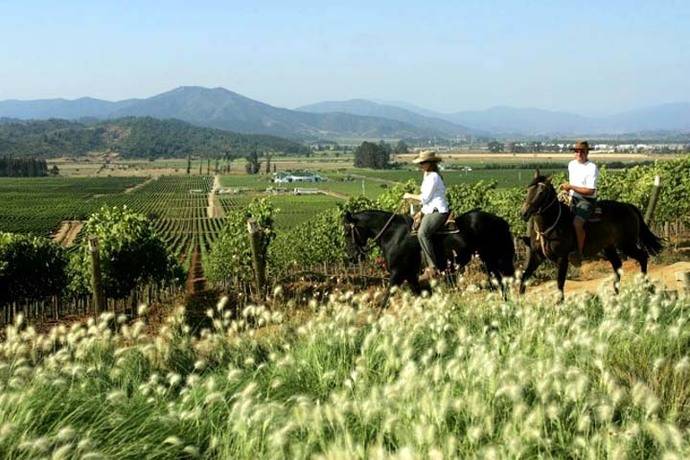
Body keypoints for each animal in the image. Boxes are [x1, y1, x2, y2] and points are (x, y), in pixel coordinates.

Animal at [342, 210, 512, 296]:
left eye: (346, 232)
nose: (351, 256)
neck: (393, 234)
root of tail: (500, 220)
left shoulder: (398, 273)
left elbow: (386, 299)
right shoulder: (410, 275)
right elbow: (419, 295)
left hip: (491, 258)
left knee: (501, 281)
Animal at [516, 171, 660, 300]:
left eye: (541, 192)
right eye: (528, 189)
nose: (524, 213)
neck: (550, 225)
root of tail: (629, 206)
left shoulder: (562, 258)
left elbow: (560, 283)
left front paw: (559, 305)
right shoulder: (537, 256)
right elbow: (524, 277)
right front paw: (518, 303)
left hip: (626, 244)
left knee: (642, 257)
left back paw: (645, 287)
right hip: (609, 247)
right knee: (618, 265)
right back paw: (616, 293)